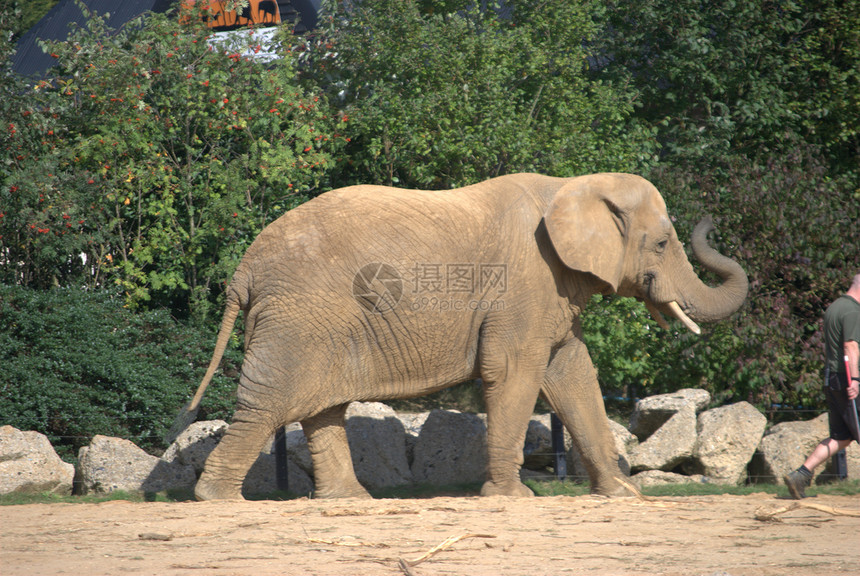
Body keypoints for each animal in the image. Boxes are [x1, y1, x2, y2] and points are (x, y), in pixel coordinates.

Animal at [181, 171, 744, 500]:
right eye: (664, 243)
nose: (713, 219)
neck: (572, 184)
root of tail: (244, 269)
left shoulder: (551, 290)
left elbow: (572, 370)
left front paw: (623, 496)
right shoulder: (523, 283)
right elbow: (514, 370)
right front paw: (511, 499)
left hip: (318, 321)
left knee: (322, 405)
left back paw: (350, 501)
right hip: (299, 315)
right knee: (271, 401)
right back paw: (217, 499)